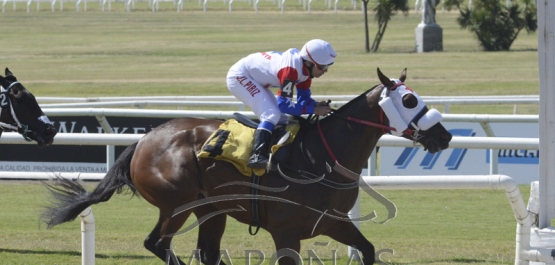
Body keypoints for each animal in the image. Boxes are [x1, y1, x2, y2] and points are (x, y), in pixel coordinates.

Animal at [42, 68, 452, 264]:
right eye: (410, 100)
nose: (445, 135)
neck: (322, 158)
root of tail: (143, 140)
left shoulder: (334, 222)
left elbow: (366, 250)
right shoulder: (286, 232)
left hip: (211, 210)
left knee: (207, 253)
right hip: (177, 204)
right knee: (157, 243)